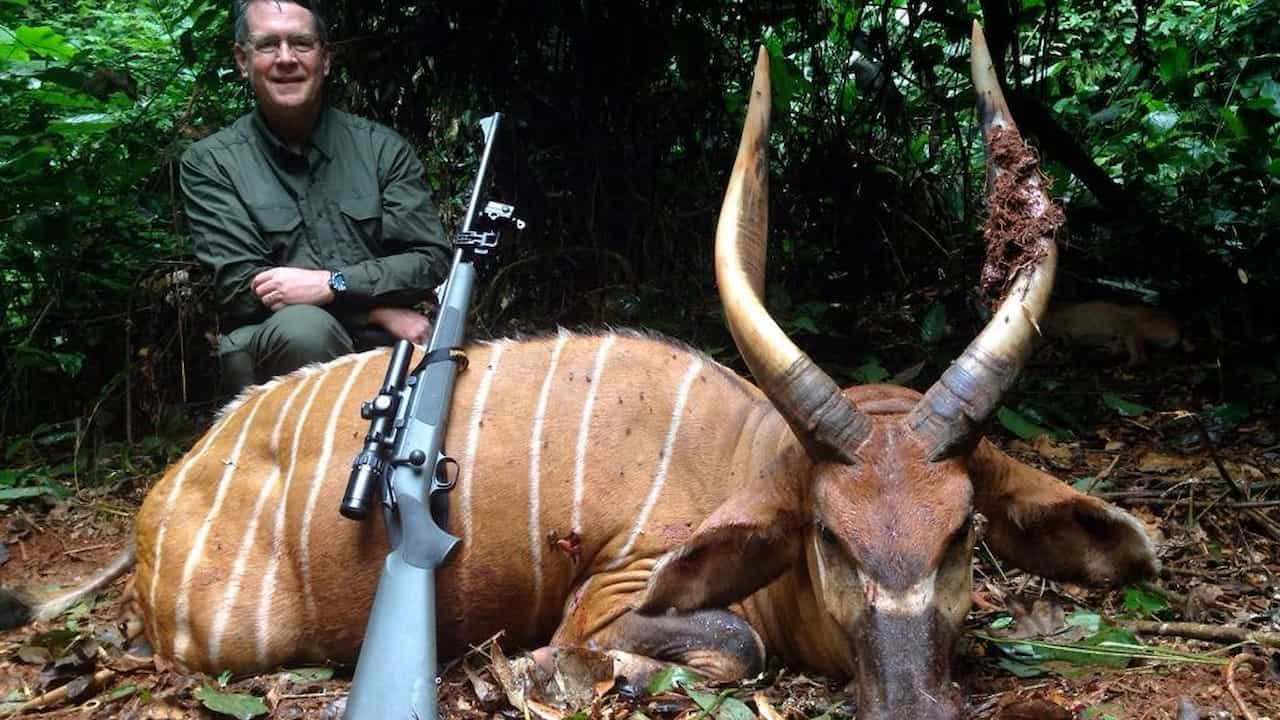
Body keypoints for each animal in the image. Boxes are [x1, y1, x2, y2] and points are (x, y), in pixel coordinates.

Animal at [2, 25, 1156, 719]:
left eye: (959, 535)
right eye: (829, 536)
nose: (913, 706)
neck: (745, 452)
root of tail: (163, 495)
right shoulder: (621, 588)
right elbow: (721, 646)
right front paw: (531, 670)